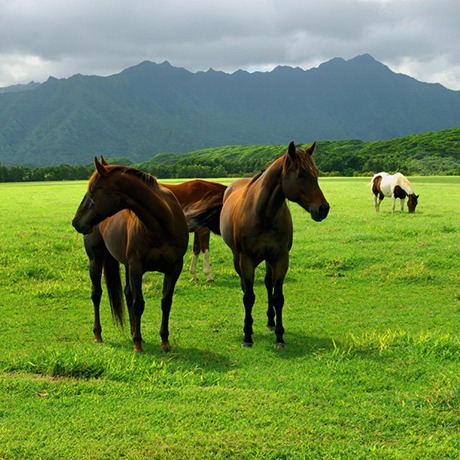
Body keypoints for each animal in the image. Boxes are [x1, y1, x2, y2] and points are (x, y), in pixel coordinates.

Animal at [70, 158, 189, 352]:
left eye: (93, 191)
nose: (76, 222)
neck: (162, 225)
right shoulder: (136, 267)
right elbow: (138, 303)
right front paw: (137, 345)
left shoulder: (174, 268)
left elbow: (166, 302)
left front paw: (164, 342)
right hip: (96, 260)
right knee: (97, 294)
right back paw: (98, 335)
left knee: (127, 294)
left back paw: (134, 332)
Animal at [194, 142, 330, 346]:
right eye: (300, 174)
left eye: (316, 173)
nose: (323, 208)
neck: (263, 214)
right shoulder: (246, 259)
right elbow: (249, 296)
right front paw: (247, 335)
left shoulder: (280, 258)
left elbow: (278, 296)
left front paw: (279, 336)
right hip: (237, 258)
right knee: (245, 286)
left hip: (268, 259)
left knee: (268, 284)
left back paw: (270, 322)